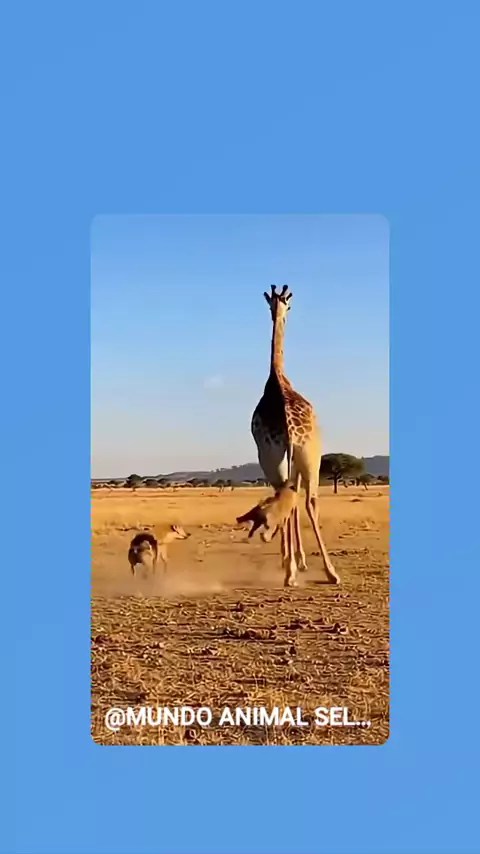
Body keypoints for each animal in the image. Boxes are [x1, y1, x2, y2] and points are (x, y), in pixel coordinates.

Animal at [251, 284, 340, 587]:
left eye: (283, 305)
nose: (281, 312)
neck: (277, 377)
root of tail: (289, 427)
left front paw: (294, 559)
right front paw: (296, 560)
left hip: (282, 458)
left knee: (291, 497)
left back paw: (298, 570)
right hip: (307, 457)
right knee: (309, 501)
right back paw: (325, 572)